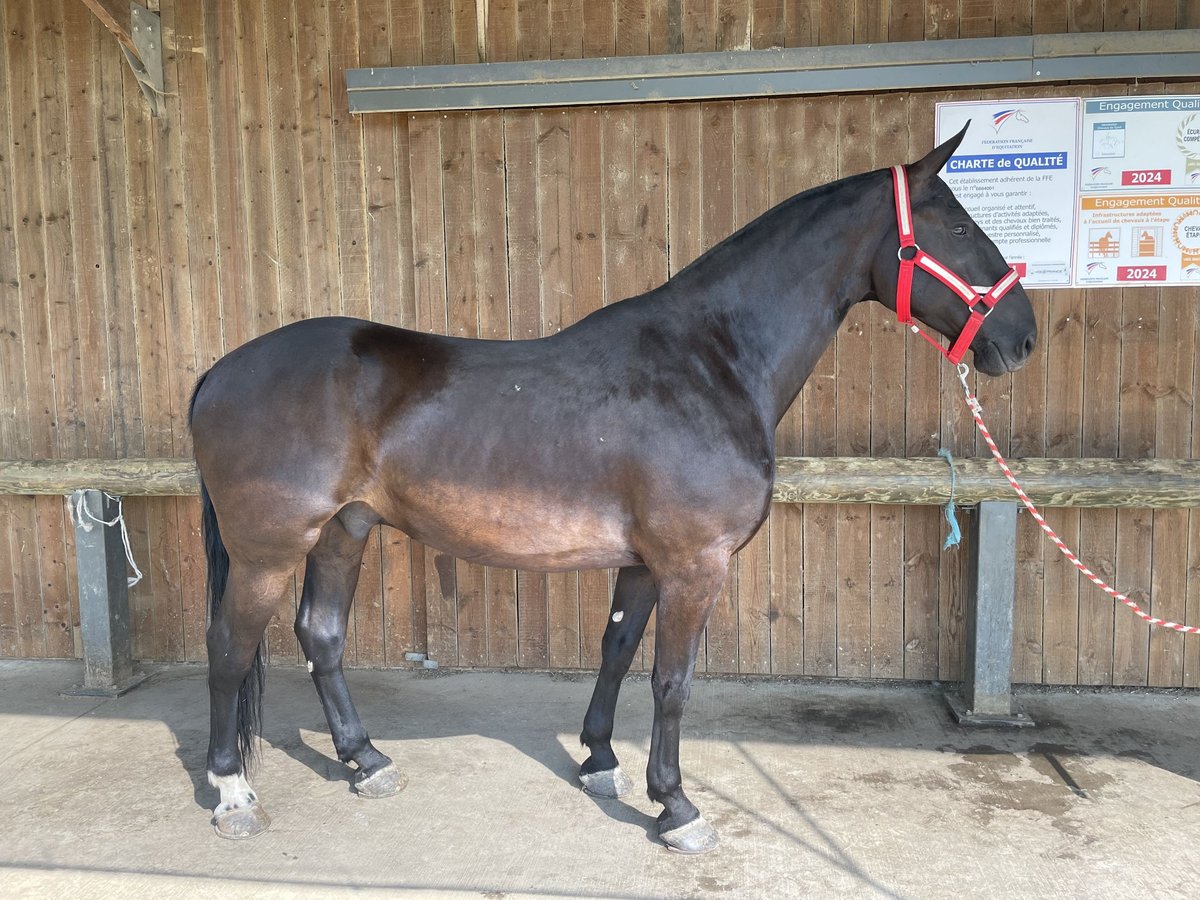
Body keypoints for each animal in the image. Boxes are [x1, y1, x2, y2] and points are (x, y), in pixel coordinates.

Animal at [192, 127, 1036, 854]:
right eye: (958, 225)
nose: (1021, 336)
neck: (709, 363)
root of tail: (219, 372)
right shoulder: (695, 565)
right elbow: (671, 682)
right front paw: (677, 807)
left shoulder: (643, 563)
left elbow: (617, 649)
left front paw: (599, 761)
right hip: (268, 549)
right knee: (230, 647)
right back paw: (232, 793)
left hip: (345, 530)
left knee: (320, 635)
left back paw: (366, 760)